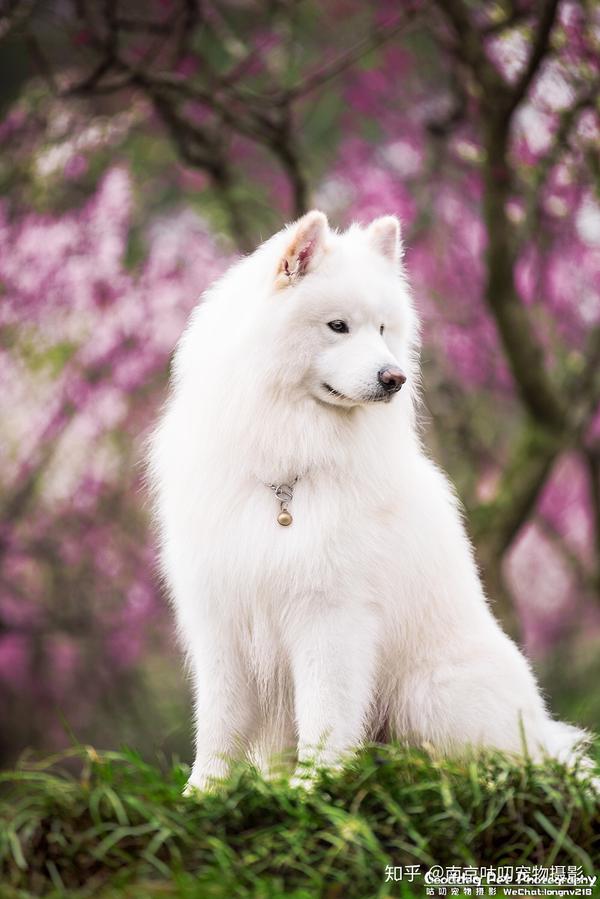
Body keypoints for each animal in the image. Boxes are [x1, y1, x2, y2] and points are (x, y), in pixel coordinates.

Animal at [148, 209, 588, 788]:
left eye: (382, 330)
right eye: (338, 326)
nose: (394, 377)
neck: (286, 471)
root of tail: (541, 733)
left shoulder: (330, 616)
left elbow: (325, 716)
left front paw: (311, 788)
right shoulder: (222, 618)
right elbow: (218, 725)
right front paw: (204, 794)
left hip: (430, 696)